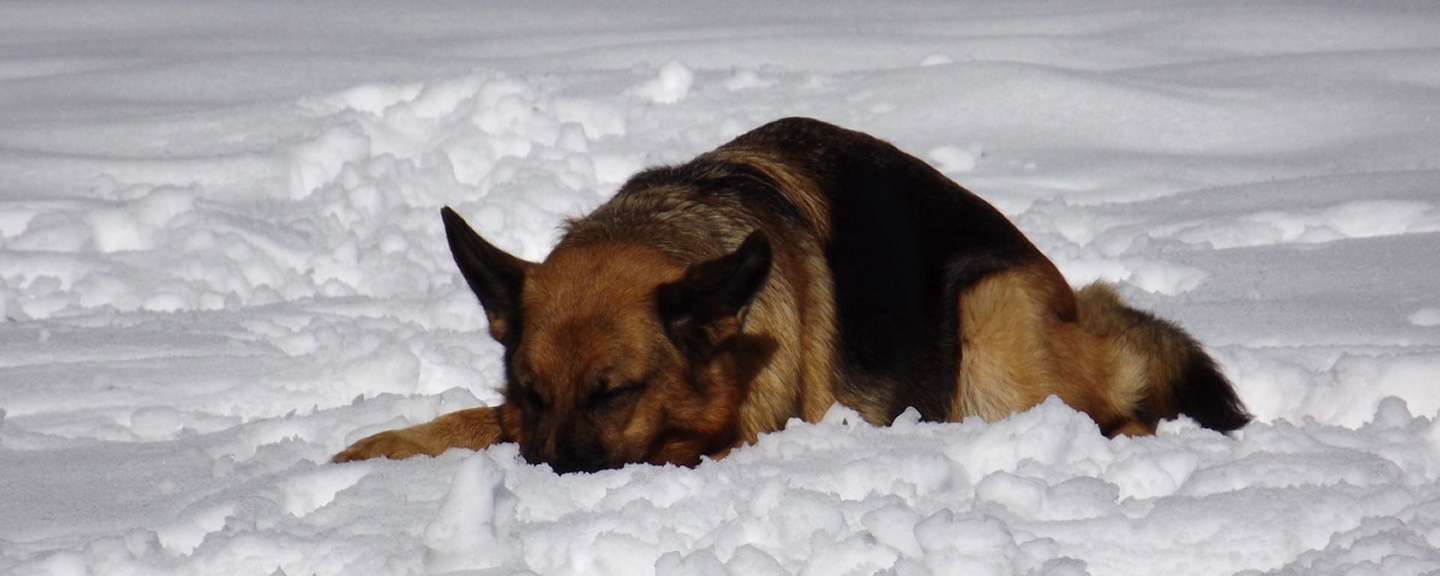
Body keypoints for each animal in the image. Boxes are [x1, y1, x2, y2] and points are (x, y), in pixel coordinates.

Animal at [332, 117, 1250, 473]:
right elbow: (469, 421)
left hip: (990, 320)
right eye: (530, 390)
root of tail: (1065, 293)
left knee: (1118, 412)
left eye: (614, 393)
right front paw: (380, 448)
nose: (545, 477)